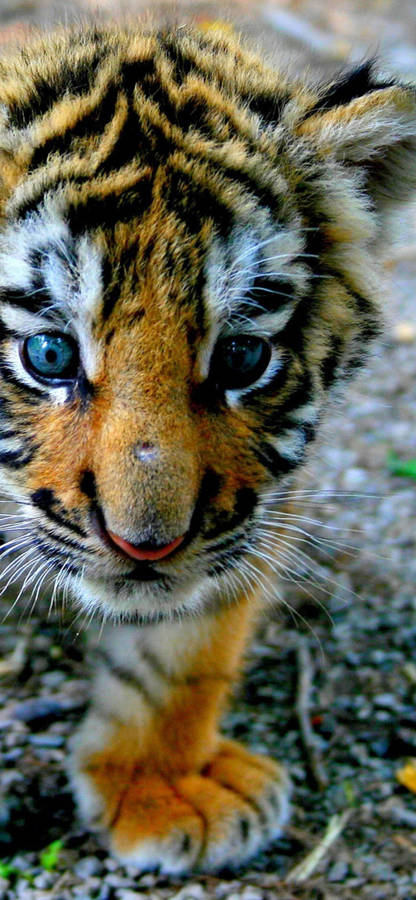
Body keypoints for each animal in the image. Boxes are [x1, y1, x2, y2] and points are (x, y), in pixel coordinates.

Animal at [0, 22, 415, 874]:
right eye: (48, 355)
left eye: (241, 358)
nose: (145, 546)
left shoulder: (262, 501)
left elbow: (187, 648)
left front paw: (162, 785)